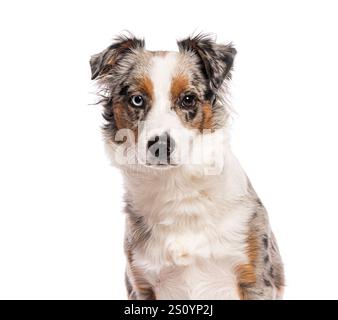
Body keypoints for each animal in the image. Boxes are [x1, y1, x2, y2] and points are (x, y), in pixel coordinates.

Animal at [89, 33, 282, 298]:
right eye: (137, 100)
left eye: (188, 99)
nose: (160, 146)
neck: (177, 188)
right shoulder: (141, 283)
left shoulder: (255, 279)